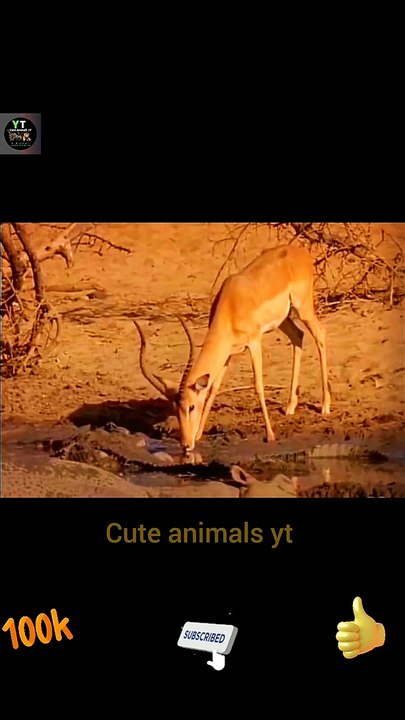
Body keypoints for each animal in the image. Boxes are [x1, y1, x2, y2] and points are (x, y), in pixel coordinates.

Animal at [134, 244, 331, 456]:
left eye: (191, 407)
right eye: (175, 409)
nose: (185, 445)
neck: (231, 303)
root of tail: (300, 252)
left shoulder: (254, 342)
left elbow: (258, 385)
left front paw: (270, 435)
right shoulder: (227, 351)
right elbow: (213, 387)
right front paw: (199, 435)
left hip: (303, 308)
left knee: (320, 334)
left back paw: (325, 406)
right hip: (284, 319)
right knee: (298, 336)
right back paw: (290, 407)